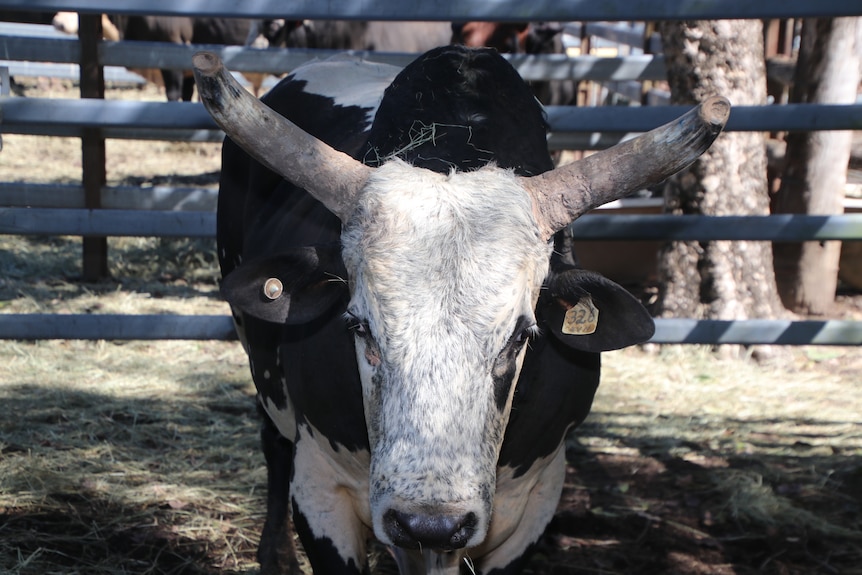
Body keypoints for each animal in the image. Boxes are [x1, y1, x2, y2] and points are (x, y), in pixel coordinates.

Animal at [191, 46, 728, 575]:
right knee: (272, 439)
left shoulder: (536, 501)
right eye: (359, 326)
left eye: (521, 336)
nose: (430, 523)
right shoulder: (320, 487)